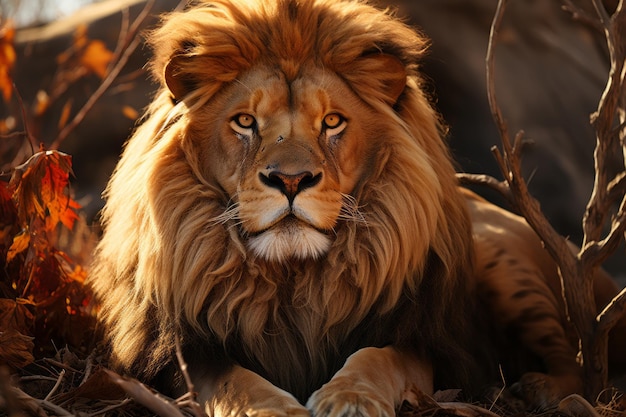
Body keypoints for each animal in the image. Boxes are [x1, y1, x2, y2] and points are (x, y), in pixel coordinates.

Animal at [89, 0, 624, 412]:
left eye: (331, 122)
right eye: (244, 121)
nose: (290, 180)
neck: (293, 279)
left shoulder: (420, 340)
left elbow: (375, 359)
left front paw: (348, 399)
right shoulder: (180, 353)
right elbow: (235, 381)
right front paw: (276, 409)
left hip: (503, 261)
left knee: (577, 364)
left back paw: (537, 390)